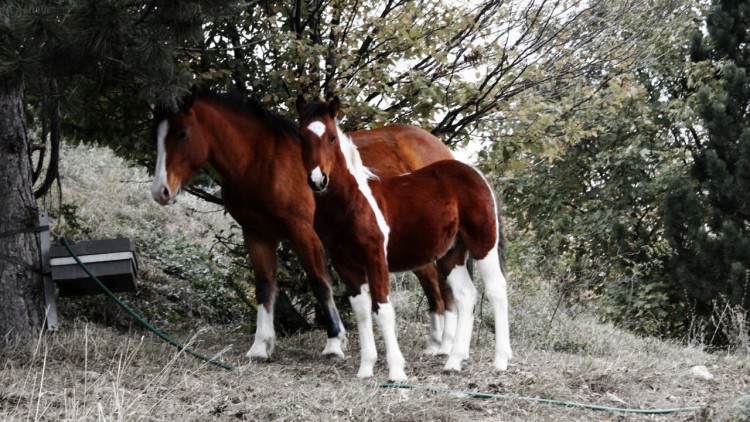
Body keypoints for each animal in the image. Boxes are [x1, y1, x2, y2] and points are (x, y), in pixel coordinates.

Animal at [146, 89, 452, 362]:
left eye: (181, 133)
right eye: (157, 136)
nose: (161, 191)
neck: (263, 162)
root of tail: (439, 147)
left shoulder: (304, 231)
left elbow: (319, 283)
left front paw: (334, 342)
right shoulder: (256, 234)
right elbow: (264, 285)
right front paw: (261, 346)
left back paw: (441, 344)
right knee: (430, 280)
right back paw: (436, 344)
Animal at [296, 98, 516, 380]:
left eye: (332, 137)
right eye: (302, 137)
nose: (318, 180)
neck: (351, 202)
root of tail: (478, 174)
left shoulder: (376, 258)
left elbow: (383, 309)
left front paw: (396, 371)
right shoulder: (344, 263)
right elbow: (361, 310)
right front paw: (365, 368)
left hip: (483, 244)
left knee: (496, 290)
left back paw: (500, 360)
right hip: (451, 254)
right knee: (466, 295)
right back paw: (454, 361)